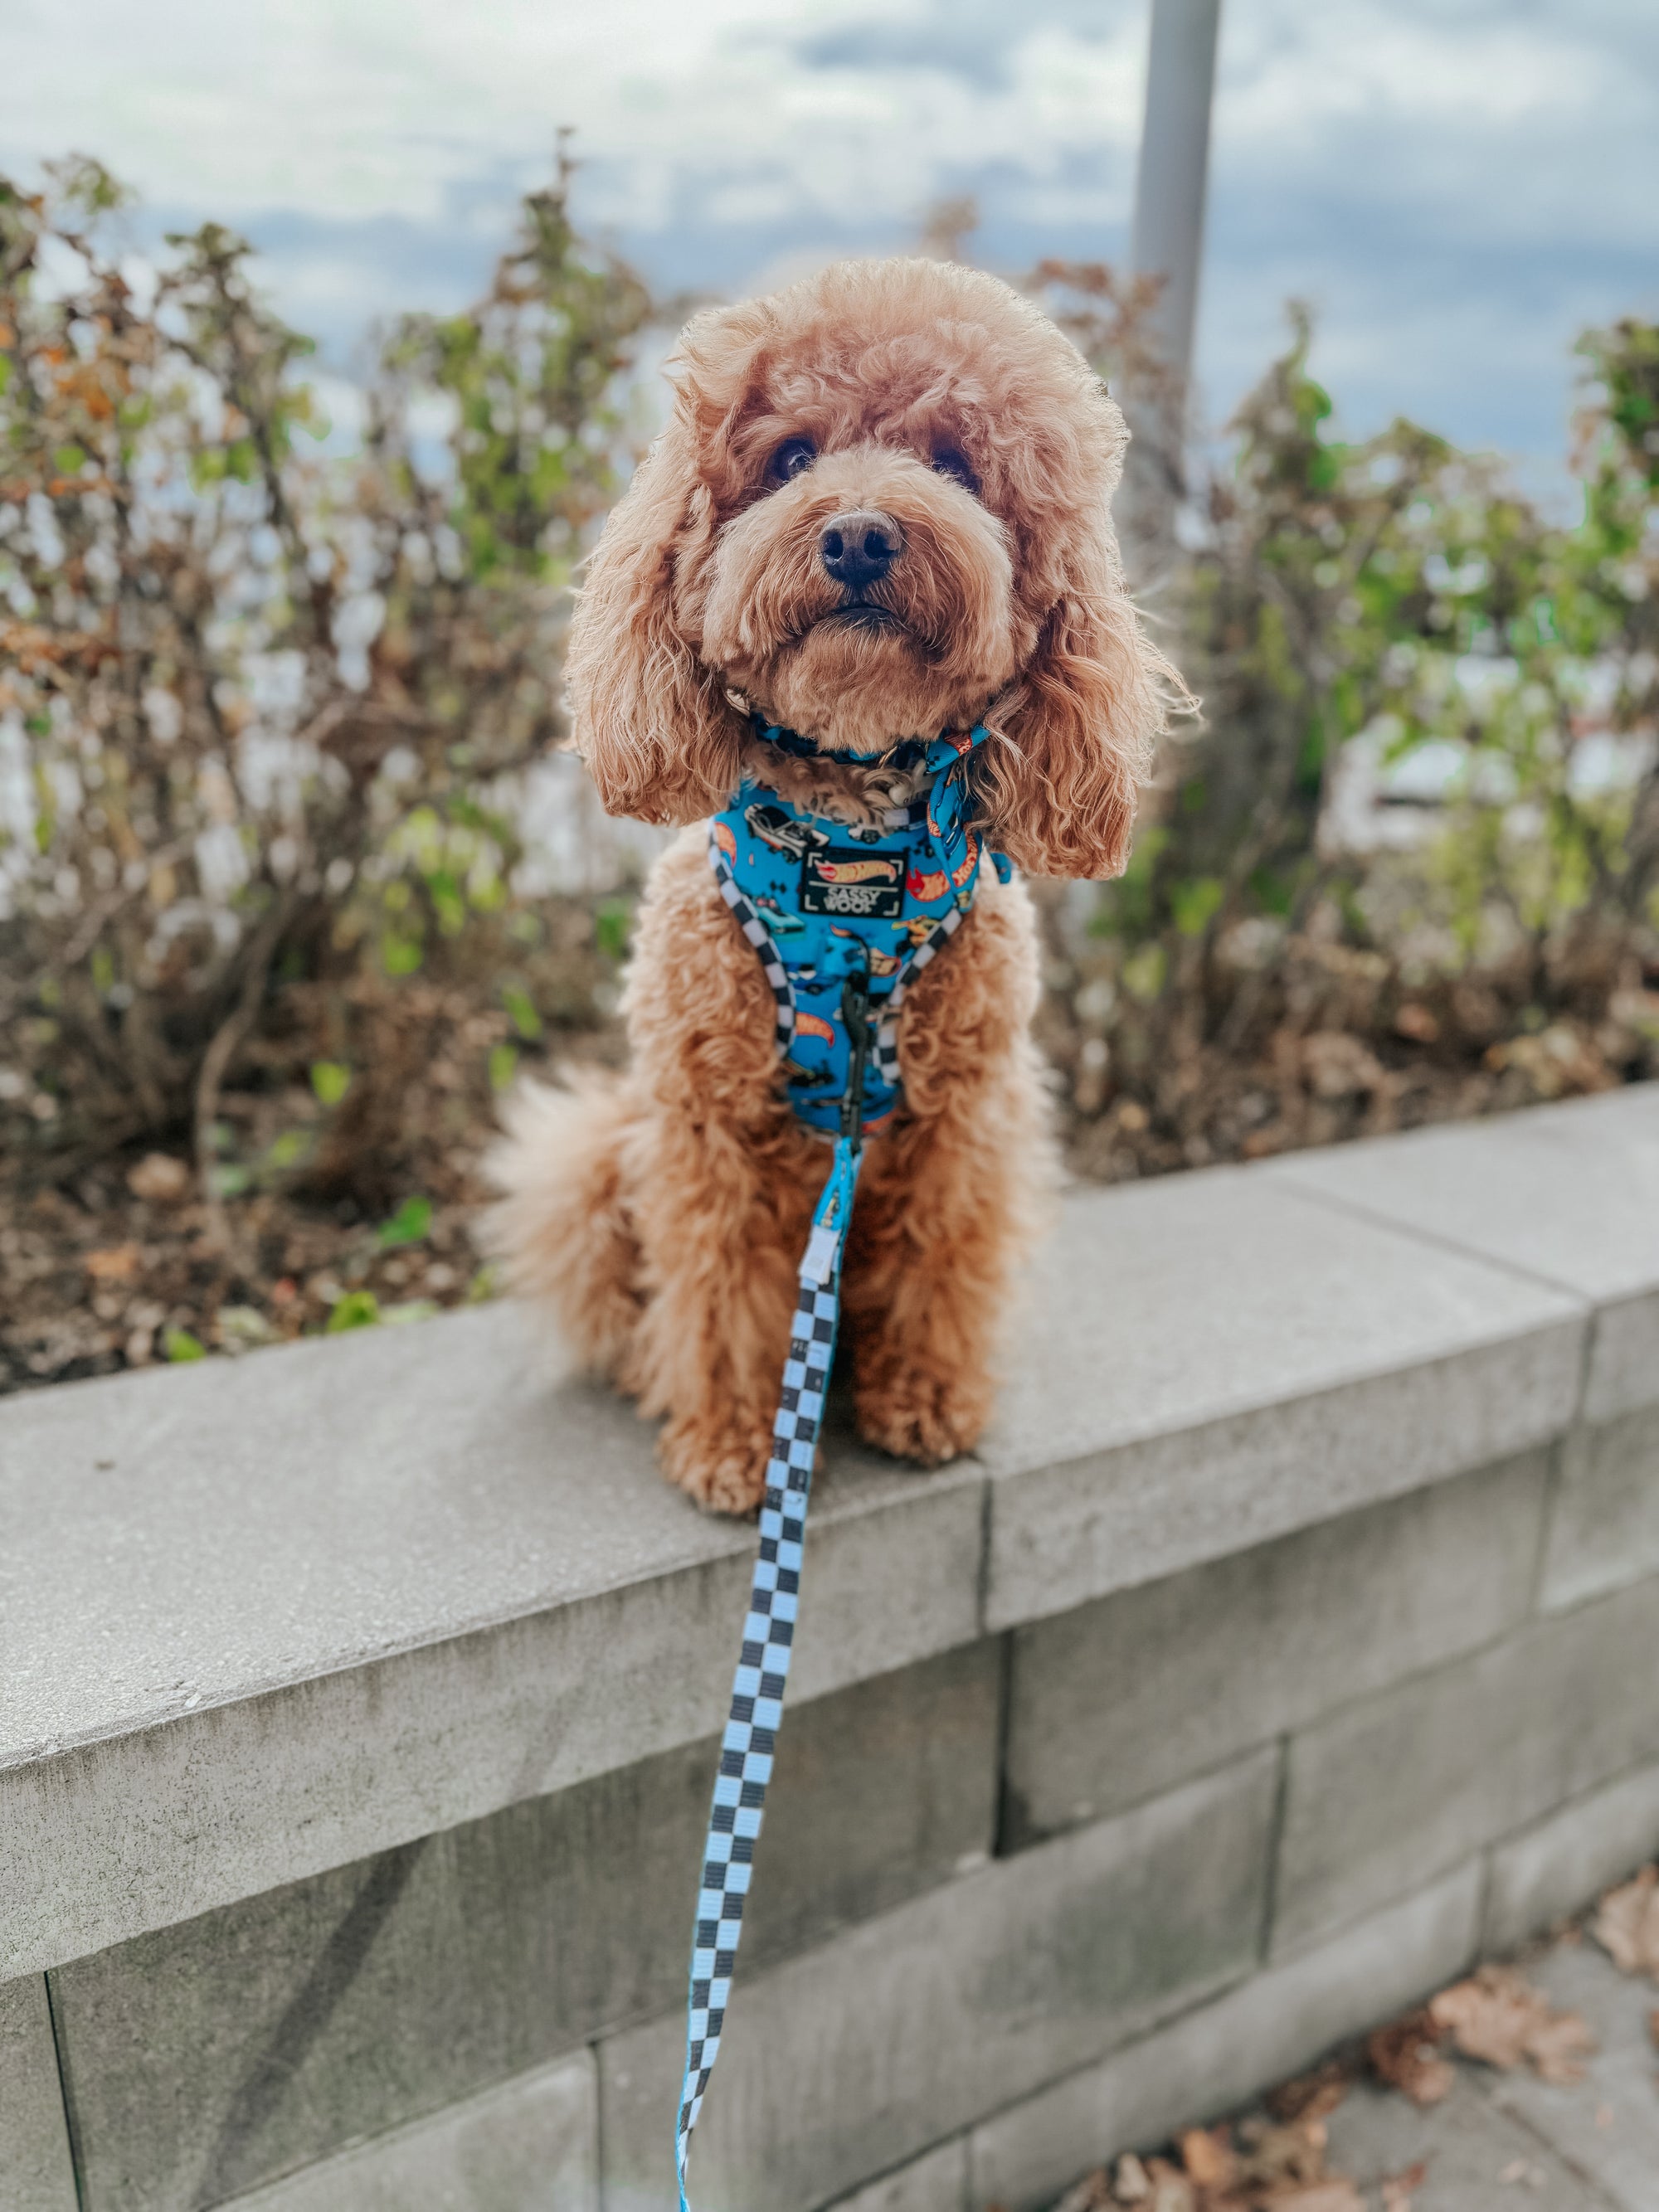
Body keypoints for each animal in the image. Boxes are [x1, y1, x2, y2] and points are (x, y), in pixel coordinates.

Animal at [486, 250, 1176, 1513]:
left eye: (954, 463)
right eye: (789, 457)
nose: (857, 536)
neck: (850, 871)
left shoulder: (961, 1123)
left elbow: (939, 1261)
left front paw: (923, 1402)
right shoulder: (709, 1121)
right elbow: (718, 1286)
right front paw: (728, 1444)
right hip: (600, 1155)